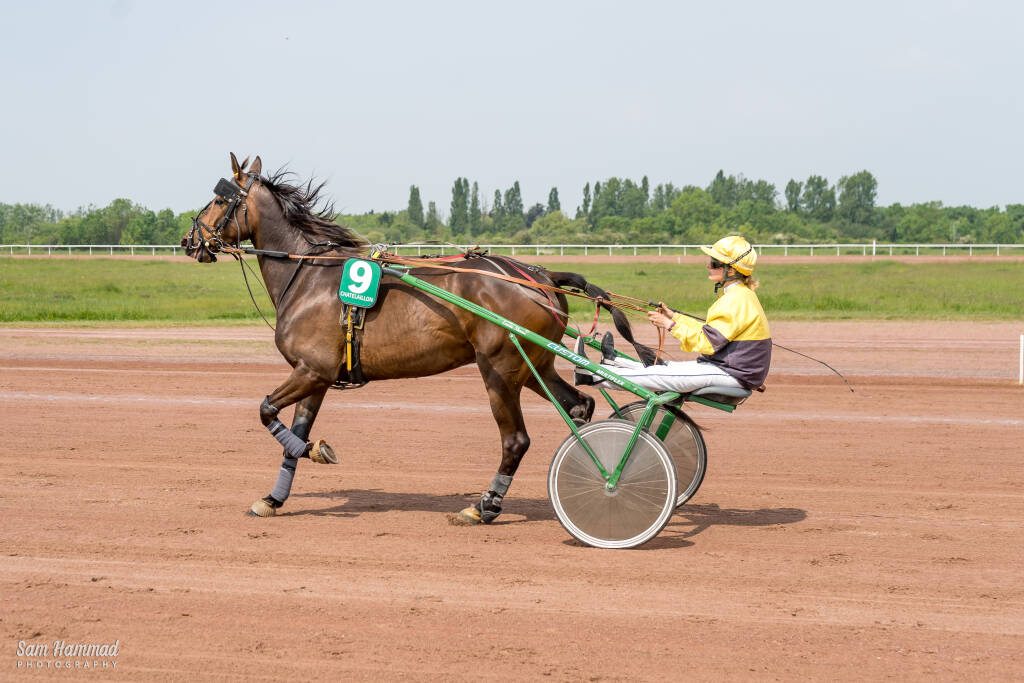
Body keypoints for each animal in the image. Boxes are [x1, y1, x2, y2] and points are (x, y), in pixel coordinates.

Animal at [182, 154, 655, 528]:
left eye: (220, 199)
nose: (190, 240)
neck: (309, 276)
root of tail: (539, 275)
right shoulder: (315, 376)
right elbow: (292, 433)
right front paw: (274, 496)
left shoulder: (310, 371)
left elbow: (266, 411)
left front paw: (317, 450)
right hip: (534, 365)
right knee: (579, 405)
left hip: (500, 370)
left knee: (516, 440)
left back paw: (485, 505)